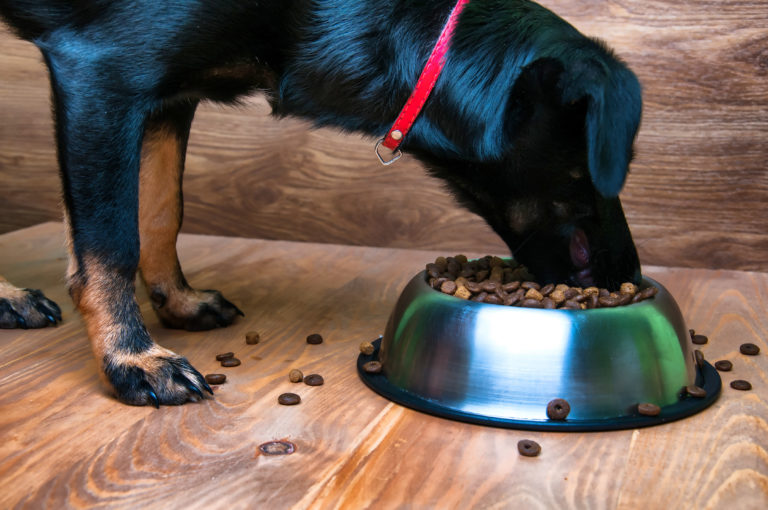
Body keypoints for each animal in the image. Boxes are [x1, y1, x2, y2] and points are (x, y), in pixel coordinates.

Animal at [0, 0, 640, 406]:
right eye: (609, 168)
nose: (628, 276)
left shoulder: (167, 91)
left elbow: (160, 210)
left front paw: (176, 300)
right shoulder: (105, 71)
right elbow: (110, 240)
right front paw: (131, 359)